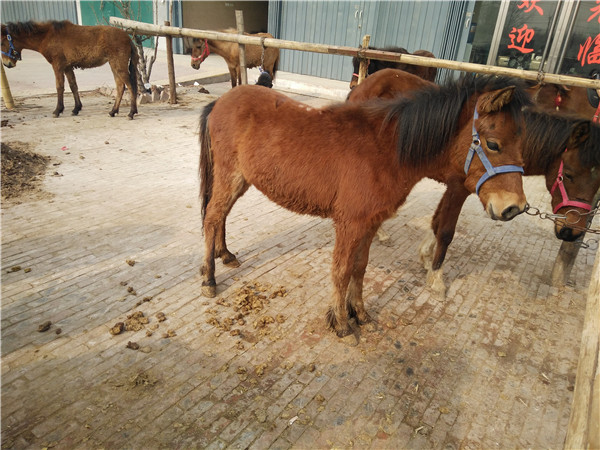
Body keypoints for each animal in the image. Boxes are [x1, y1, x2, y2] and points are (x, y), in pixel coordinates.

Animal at [0, 20, 138, 119]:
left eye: (1, 43)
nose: (7, 64)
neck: (48, 36)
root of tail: (128, 37)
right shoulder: (67, 67)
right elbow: (73, 86)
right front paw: (76, 108)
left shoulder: (57, 66)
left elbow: (59, 87)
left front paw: (57, 110)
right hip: (113, 65)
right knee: (120, 86)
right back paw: (113, 111)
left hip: (118, 65)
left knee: (130, 86)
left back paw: (131, 112)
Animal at [198, 75, 528, 338]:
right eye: (493, 144)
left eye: (521, 142)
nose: (514, 208)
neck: (385, 150)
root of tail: (221, 101)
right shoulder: (351, 223)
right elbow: (342, 270)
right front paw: (341, 322)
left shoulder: (370, 224)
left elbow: (360, 268)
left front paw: (359, 313)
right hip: (230, 177)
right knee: (212, 217)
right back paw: (209, 278)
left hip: (241, 181)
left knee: (221, 215)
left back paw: (225, 255)